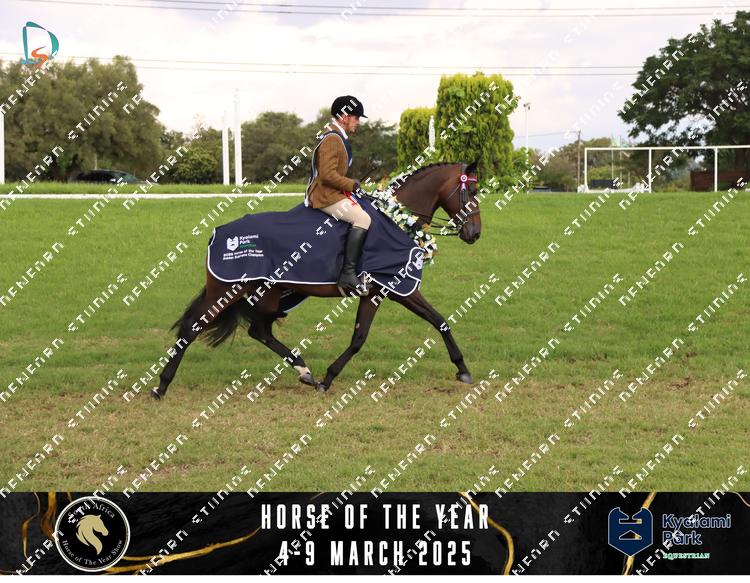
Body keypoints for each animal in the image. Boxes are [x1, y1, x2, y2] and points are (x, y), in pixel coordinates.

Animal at [151, 161, 481, 399]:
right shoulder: (395, 289)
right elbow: (382, 334)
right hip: (228, 289)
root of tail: (217, 233)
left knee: (259, 331)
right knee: (193, 327)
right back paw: (161, 386)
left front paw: (462, 369)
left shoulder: (379, 292)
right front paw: (329, 378)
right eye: (472, 192)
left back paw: (304, 372)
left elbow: (427, 324)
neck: (396, 219)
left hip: (268, 293)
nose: (475, 234)